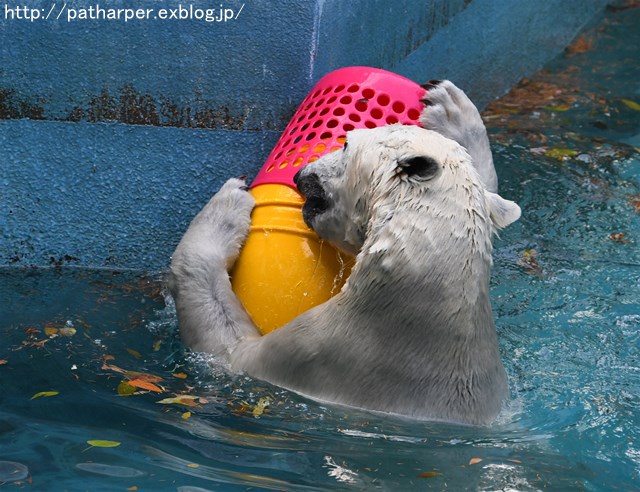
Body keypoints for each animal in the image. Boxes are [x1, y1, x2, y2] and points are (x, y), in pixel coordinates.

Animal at [170, 80, 520, 422]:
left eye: (346, 144)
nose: (301, 174)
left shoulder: (321, 352)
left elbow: (226, 347)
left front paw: (227, 206)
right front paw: (449, 109)